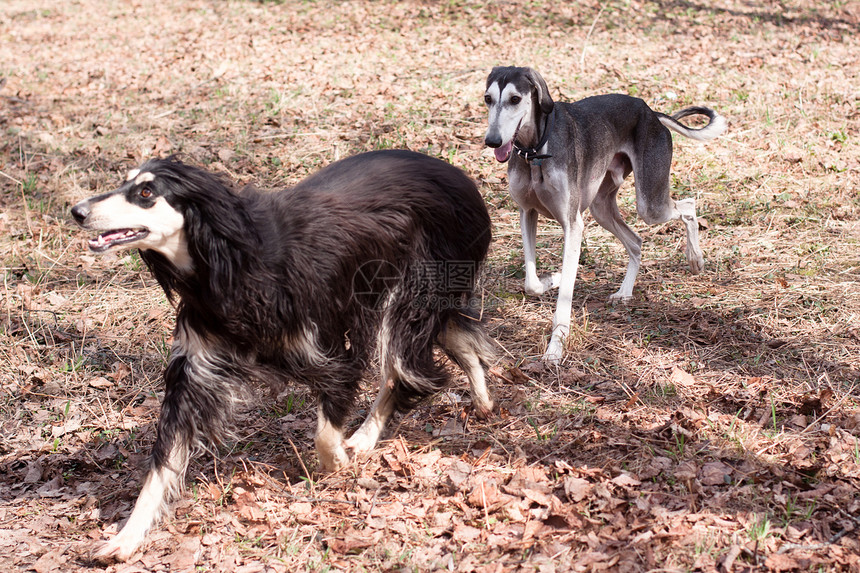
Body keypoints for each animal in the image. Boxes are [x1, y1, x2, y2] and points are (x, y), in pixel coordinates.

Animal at [484, 67, 724, 362]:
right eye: (488, 99)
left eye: (515, 99)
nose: (492, 141)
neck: (536, 150)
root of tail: (649, 111)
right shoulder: (527, 213)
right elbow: (532, 284)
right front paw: (554, 278)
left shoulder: (573, 226)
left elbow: (564, 296)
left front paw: (555, 348)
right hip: (601, 208)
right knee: (636, 242)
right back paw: (625, 292)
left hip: (650, 206)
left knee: (688, 207)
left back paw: (695, 259)